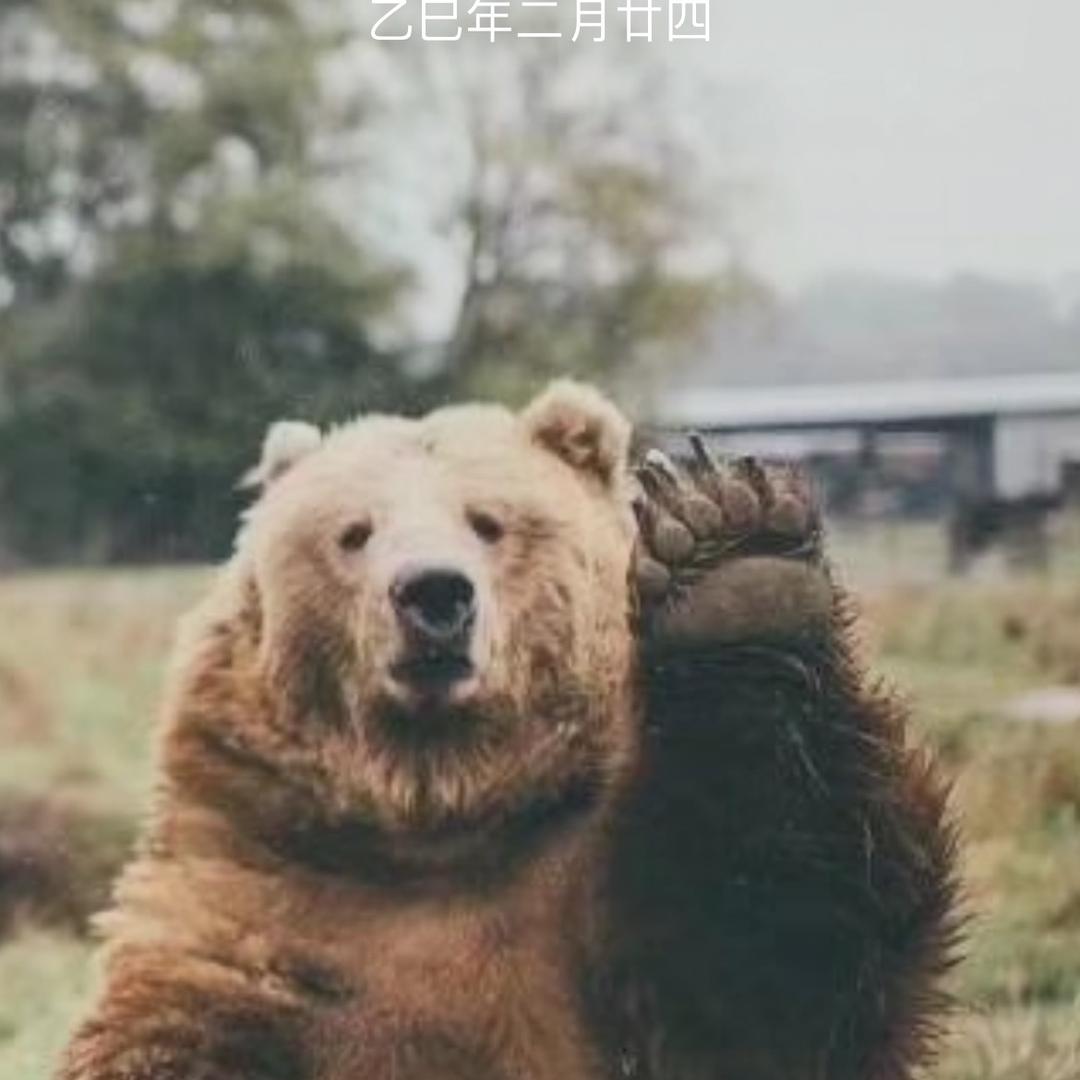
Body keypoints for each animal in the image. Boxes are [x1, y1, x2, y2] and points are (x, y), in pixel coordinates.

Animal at [56, 380, 959, 1080]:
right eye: (355, 531)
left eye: (487, 521)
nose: (432, 593)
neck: (442, 812)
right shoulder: (262, 902)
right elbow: (175, 1032)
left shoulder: (599, 917)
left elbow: (769, 949)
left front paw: (736, 560)